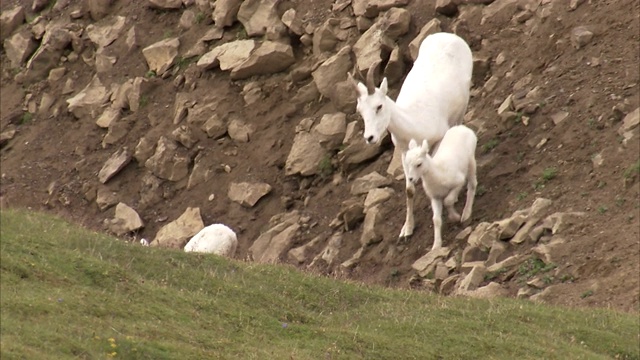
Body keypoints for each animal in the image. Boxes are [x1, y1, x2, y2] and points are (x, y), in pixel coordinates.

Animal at [350, 31, 476, 239]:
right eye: (360, 110)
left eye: (379, 106)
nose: (370, 138)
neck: (415, 121)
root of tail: (448, 35)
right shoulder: (403, 152)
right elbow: (409, 190)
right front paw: (407, 229)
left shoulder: (436, 142)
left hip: (462, 105)